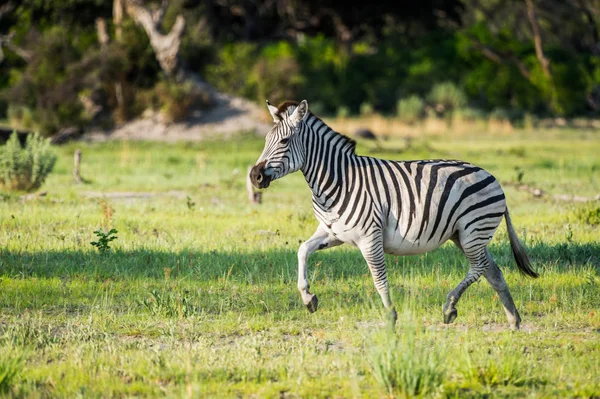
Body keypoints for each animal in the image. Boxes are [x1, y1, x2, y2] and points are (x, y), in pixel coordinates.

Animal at [248, 100, 540, 332]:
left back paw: (449, 307)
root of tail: (490, 175)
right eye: (265, 141)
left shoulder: (369, 237)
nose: (254, 176)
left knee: (479, 268)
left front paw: (390, 316)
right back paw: (513, 321)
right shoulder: (332, 232)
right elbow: (302, 250)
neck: (338, 180)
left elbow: (379, 278)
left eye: (284, 141)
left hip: (472, 231)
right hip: (465, 235)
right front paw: (308, 299)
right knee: (493, 272)